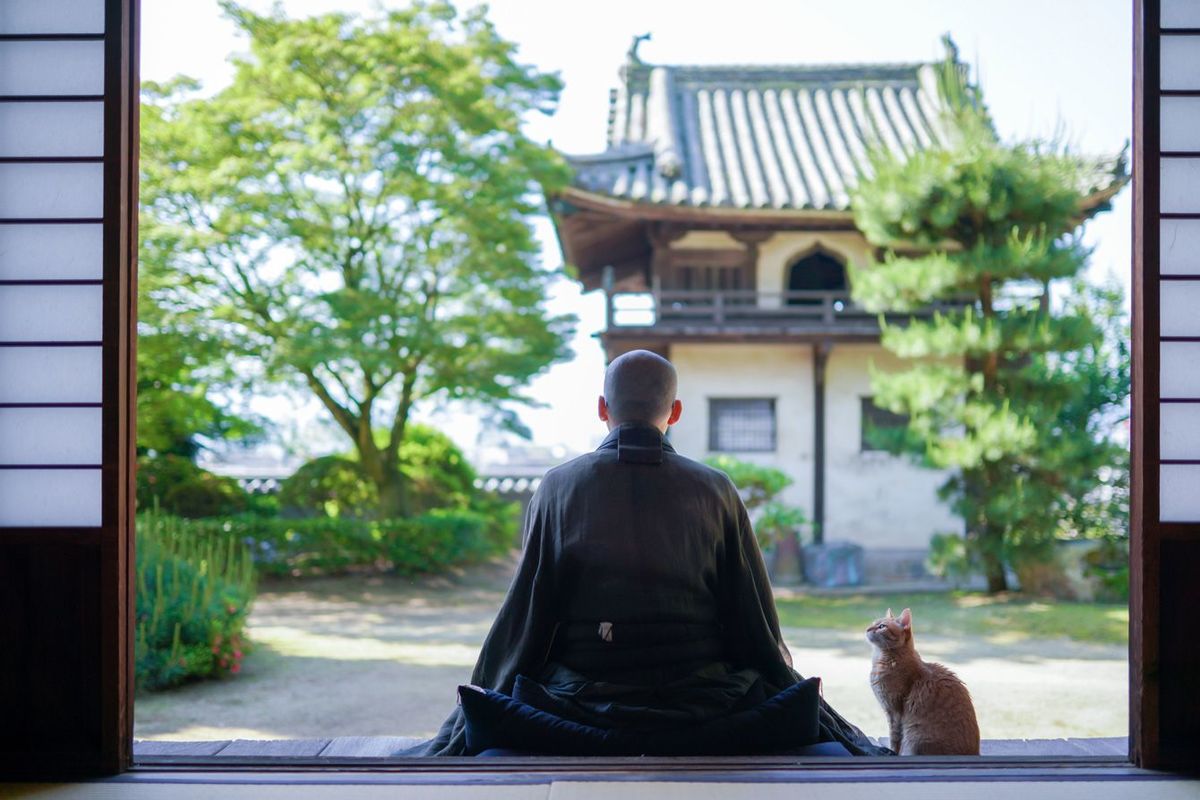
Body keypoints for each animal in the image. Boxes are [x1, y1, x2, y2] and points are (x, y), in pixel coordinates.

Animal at [868, 609, 979, 753]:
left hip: (916, 737)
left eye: (882, 626)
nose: (867, 629)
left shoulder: (894, 713)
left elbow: (895, 739)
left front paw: (892, 751)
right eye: (872, 623)